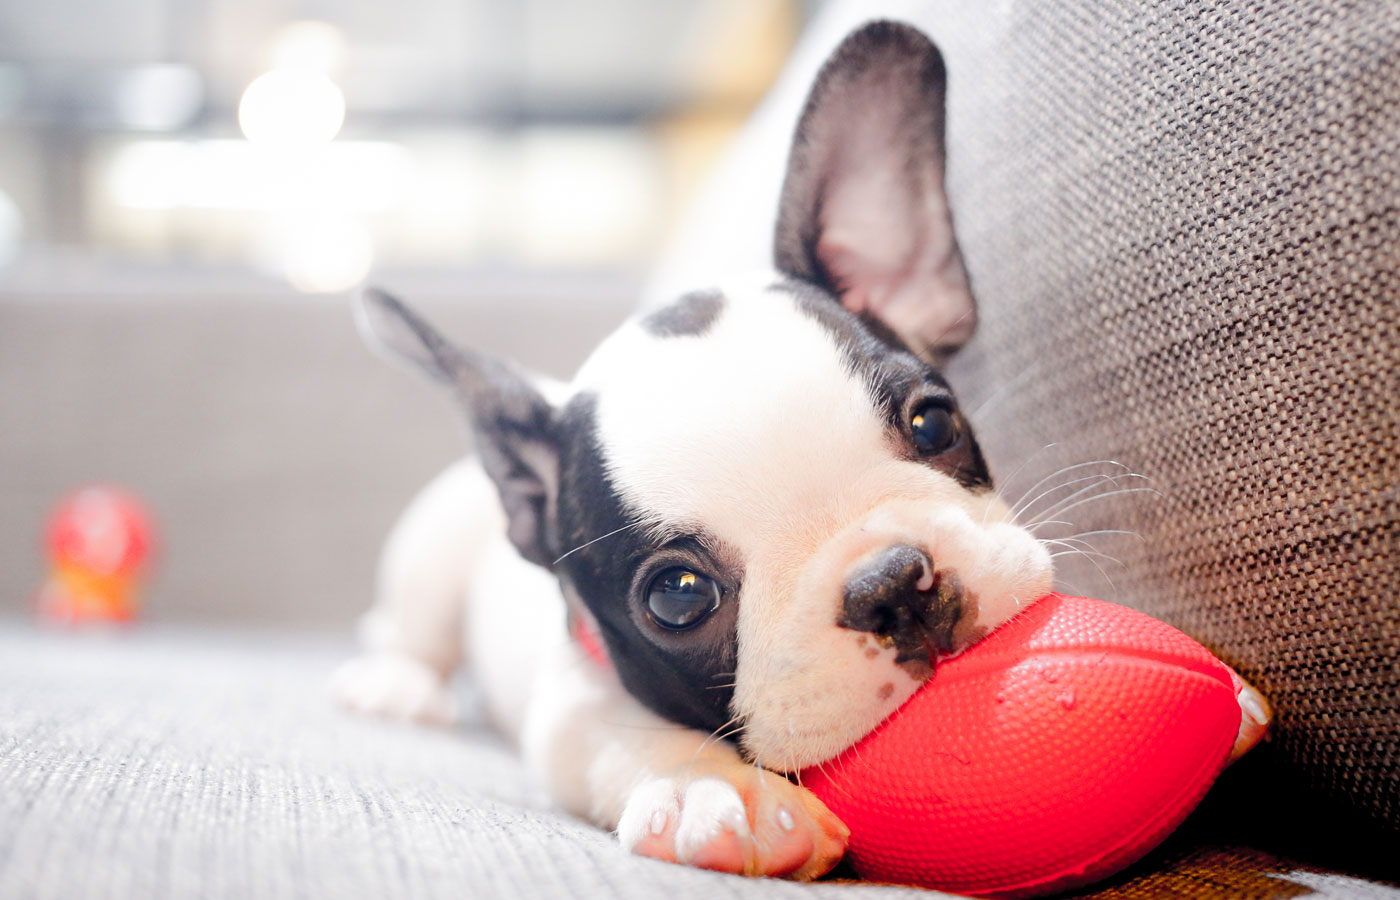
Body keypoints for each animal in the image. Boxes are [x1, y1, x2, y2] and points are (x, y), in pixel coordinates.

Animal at [330, 19, 1271, 879]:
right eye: (676, 598)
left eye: (935, 424)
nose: (891, 585)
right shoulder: (571, 703)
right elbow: (620, 734)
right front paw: (716, 790)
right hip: (431, 547)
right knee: (408, 629)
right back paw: (398, 685)